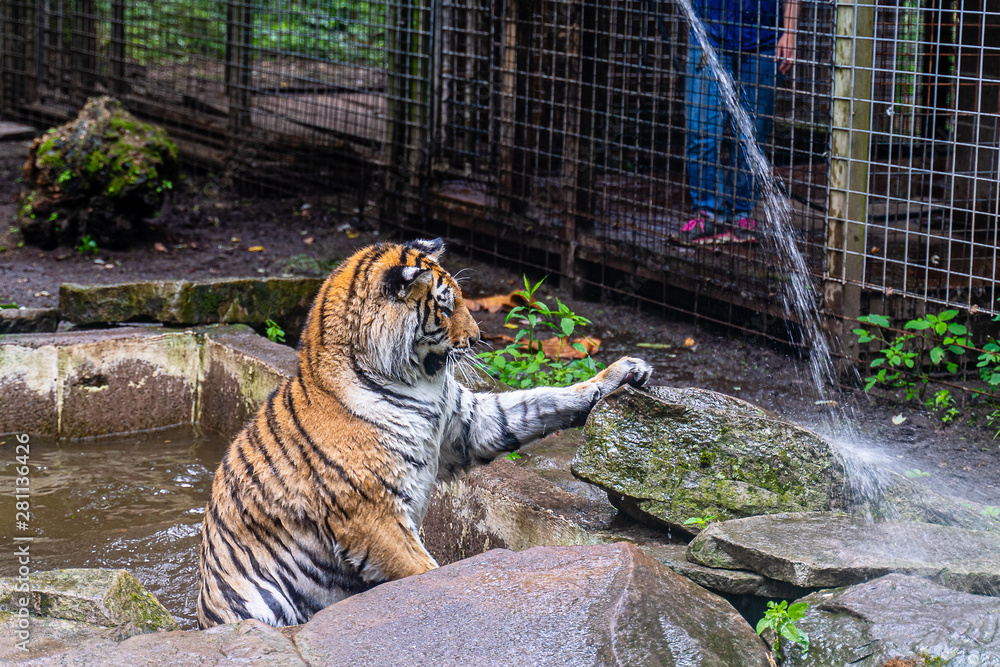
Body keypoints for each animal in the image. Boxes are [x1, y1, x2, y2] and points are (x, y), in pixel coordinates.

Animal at [196, 237, 652, 628]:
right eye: (445, 307)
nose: (479, 338)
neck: (416, 382)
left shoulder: (469, 424)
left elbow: (540, 403)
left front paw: (621, 373)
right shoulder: (373, 515)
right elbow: (425, 572)